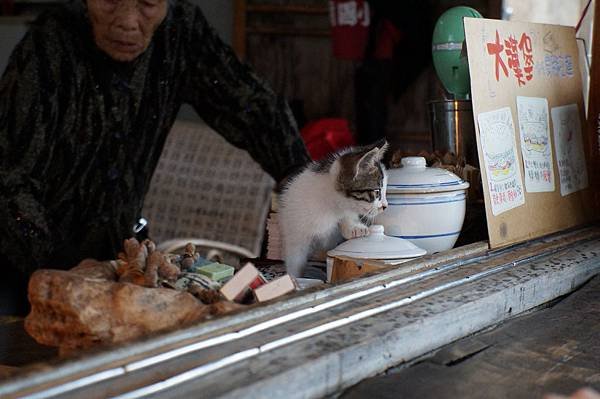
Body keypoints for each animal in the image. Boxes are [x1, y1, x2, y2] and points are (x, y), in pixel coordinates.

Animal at [280, 141, 390, 278]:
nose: (385, 206)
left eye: (384, 191)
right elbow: (294, 262)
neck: (329, 207)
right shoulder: (295, 234)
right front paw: (294, 279)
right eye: (377, 192)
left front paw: (354, 227)